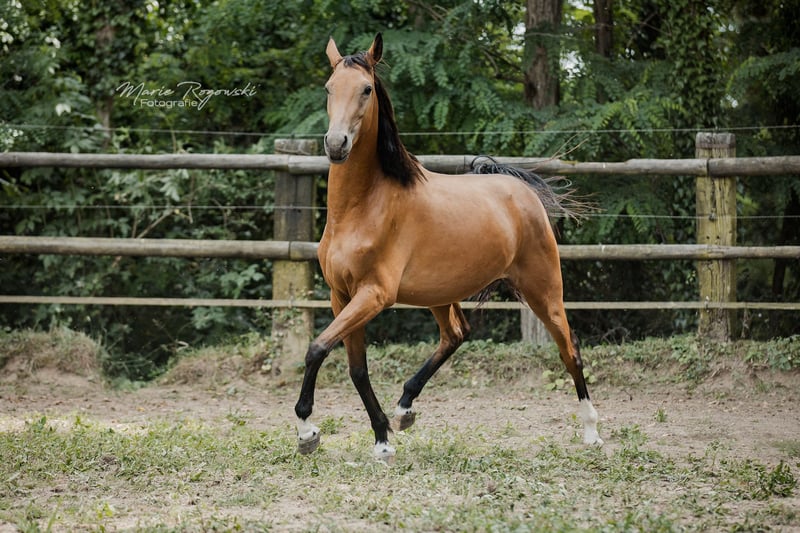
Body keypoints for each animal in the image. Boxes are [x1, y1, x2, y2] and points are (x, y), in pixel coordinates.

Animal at [294, 33, 603, 461]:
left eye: (367, 89)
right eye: (328, 88)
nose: (336, 144)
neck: (362, 208)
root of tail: (520, 189)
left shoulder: (374, 295)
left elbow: (317, 348)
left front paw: (307, 430)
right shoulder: (341, 295)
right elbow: (356, 368)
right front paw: (382, 439)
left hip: (544, 290)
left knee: (569, 349)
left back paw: (592, 431)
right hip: (440, 293)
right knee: (456, 333)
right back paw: (404, 409)